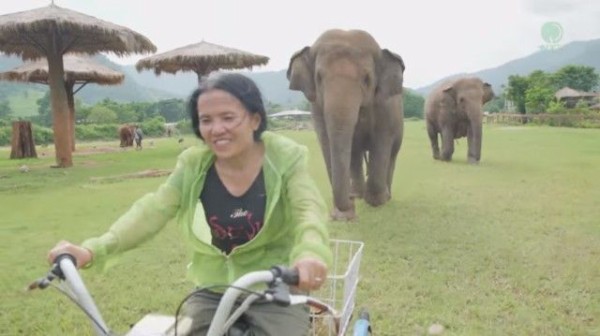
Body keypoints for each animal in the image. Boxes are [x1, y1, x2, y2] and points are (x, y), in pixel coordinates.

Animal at [288, 29, 408, 220]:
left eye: (367, 79)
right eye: (319, 78)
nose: (350, 201)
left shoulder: (385, 108)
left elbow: (381, 142)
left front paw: (376, 202)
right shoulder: (317, 107)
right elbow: (326, 141)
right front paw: (343, 215)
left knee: (391, 154)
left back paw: (385, 196)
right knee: (355, 154)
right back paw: (359, 193)